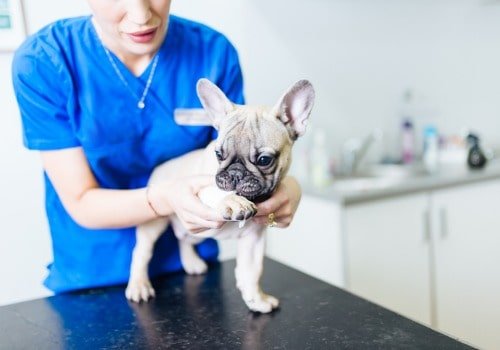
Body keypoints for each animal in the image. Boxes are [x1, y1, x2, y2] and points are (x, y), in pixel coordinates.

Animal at [127, 78, 314, 312]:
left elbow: (252, 271)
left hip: (194, 233)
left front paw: (256, 300)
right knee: (141, 252)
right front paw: (233, 201)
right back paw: (138, 285)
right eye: (218, 154)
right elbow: (212, 190)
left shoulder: (253, 238)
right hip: (154, 224)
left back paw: (191, 263)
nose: (234, 173)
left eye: (264, 160)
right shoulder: (199, 188)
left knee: (184, 239)